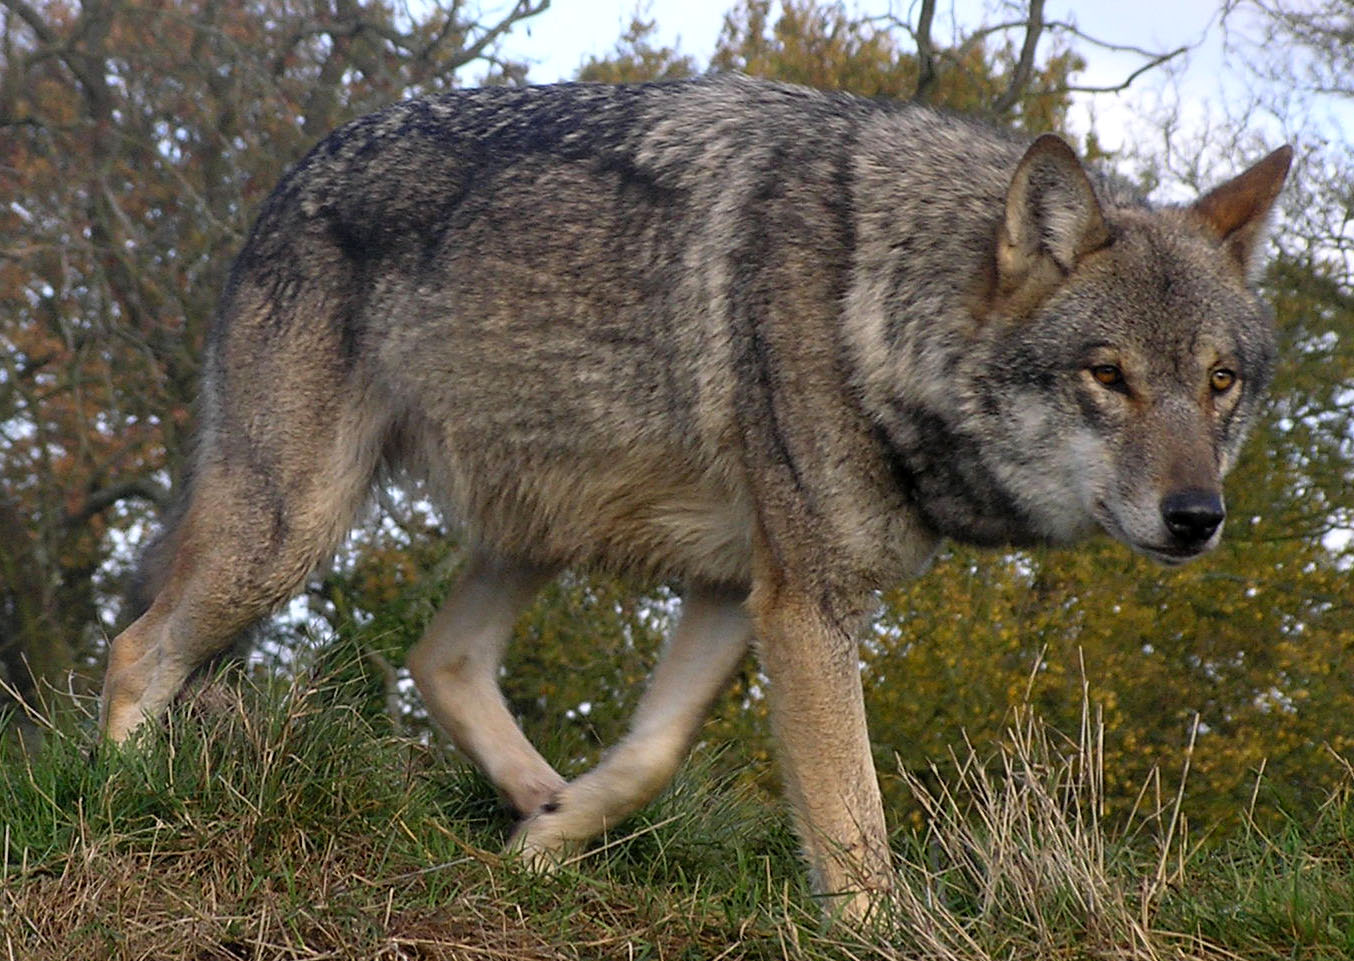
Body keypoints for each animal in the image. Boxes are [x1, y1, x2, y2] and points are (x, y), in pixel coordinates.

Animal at [99, 74, 1292, 920]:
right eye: (1108, 375)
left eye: (1218, 381)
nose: (1198, 516)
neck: (878, 295)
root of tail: (288, 178)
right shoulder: (805, 601)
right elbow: (853, 827)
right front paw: (881, 928)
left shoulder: (737, 587)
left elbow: (651, 755)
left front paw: (552, 837)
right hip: (291, 529)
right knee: (139, 647)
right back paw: (118, 801)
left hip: (537, 523)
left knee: (441, 656)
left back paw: (533, 807)